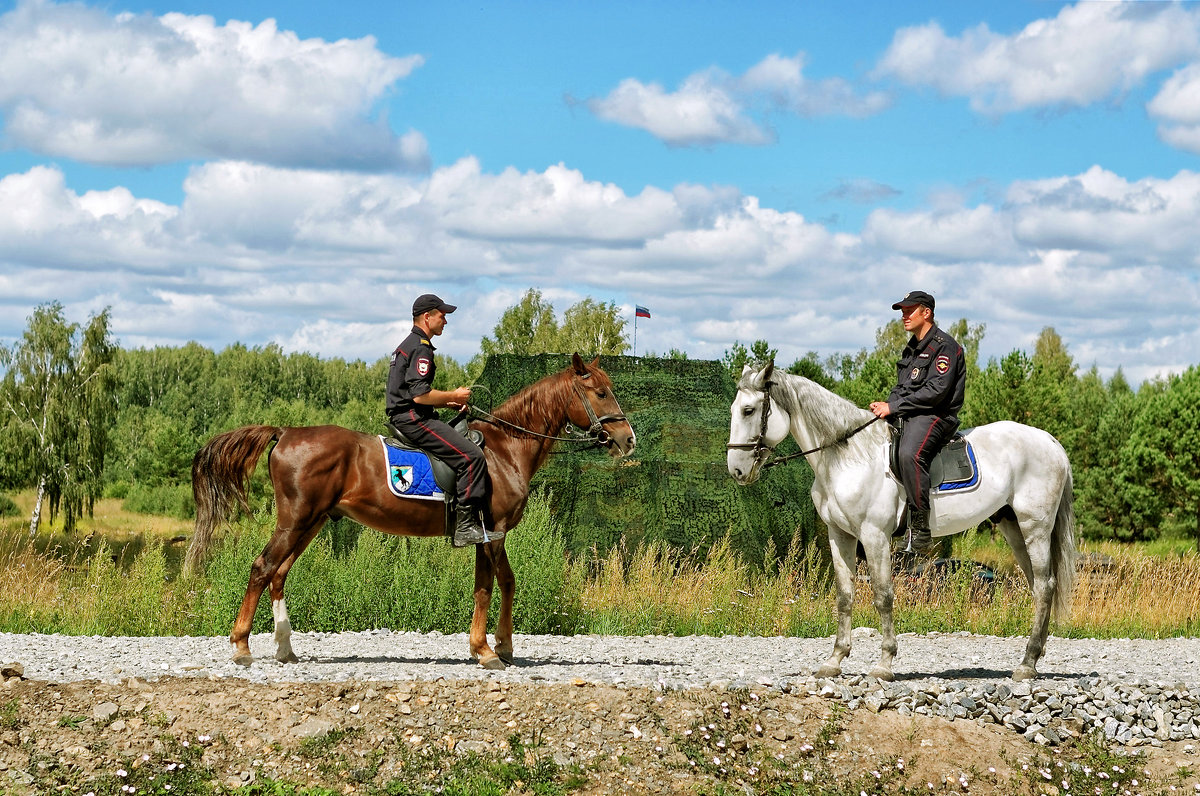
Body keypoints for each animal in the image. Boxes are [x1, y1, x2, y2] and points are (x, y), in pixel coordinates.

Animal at [184, 352, 638, 667]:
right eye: (600, 392)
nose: (628, 439)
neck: (506, 448)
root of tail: (287, 431)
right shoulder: (492, 530)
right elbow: (495, 585)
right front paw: (491, 650)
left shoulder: (486, 534)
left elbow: (497, 584)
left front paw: (495, 646)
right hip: (294, 521)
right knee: (262, 569)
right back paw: (242, 646)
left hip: (311, 522)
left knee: (278, 574)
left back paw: (284, 648)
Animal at [729, 364, 1080, 681]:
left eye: (749, 410)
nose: (737, 471)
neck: (847, 457)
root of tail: (1050, 442)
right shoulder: (839, 535)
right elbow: (845, 595)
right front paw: (834, 660)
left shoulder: (874, 536)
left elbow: (883, 596)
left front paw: (884, 664)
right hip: (1013, 526)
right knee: (1039, 585)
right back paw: (1034, 658)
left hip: (1035, 527)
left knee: (1044, 586)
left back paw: (1027, 664)